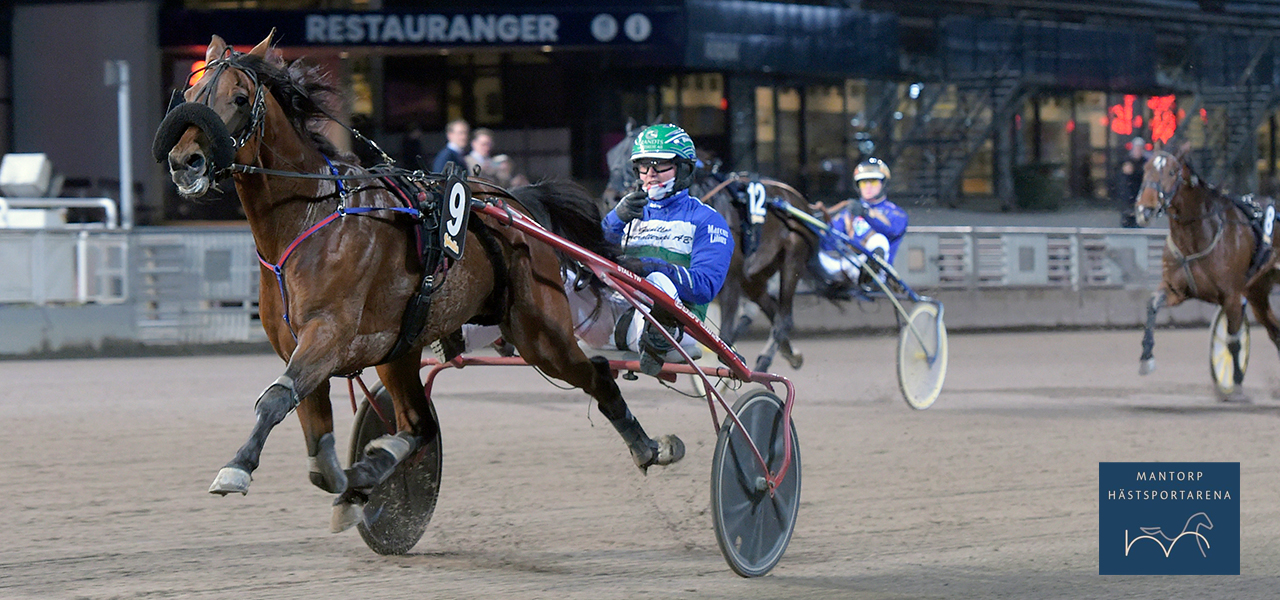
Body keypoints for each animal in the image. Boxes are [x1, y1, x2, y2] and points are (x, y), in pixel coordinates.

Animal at [158, 32, 686, 529]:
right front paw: (353, 481)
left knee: (595, 373)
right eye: (193, 91)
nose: (185, 161)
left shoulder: (327, 335)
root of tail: (516, 204)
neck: (311, 217)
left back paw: (650, 446)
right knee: (417, 425)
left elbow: (273, 401)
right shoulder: (296, 346)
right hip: (402, 349)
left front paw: (237, 468)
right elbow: (316, 450)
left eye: (239, 97)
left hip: (541, 333)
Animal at [1131, 146, 1280, 396]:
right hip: (1258, 291)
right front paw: (1145, 358)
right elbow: (1152, 305)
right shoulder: (1176, 290)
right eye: (1145, 168)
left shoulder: (1231, 296)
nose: (1145, 209)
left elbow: (1233, 340)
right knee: (1274, 329)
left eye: (1172, 172)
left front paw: (1235, 382)